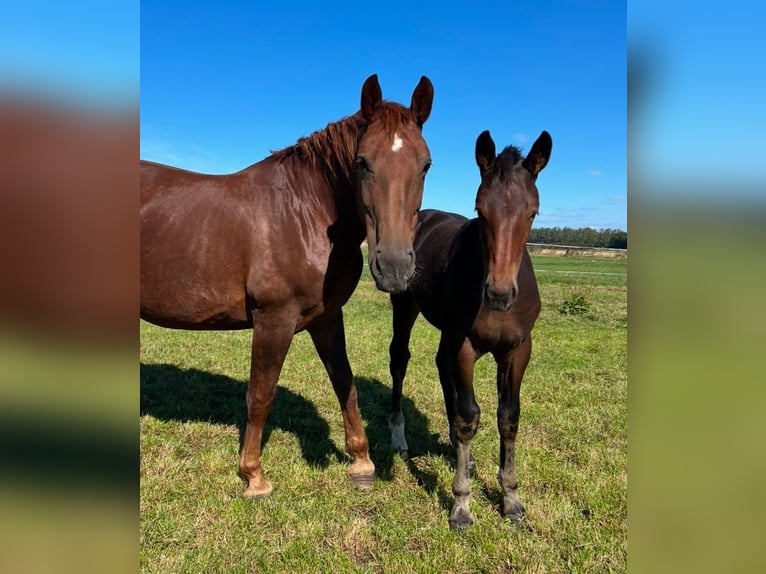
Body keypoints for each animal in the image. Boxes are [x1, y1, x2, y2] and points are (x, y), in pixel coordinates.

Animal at [141, 75, 436, 500]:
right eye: (362, 162)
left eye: (425, 165)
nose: (394, 268)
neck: (303, 213)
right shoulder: (274, 320)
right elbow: (260, 395)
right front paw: (254, 476)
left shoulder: (327, 318)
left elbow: (345, 383)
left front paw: (361, 462)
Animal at [390, 130, 552, 532]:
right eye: (480, 211)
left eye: (533, 212)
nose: (498, 293)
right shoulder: (464, 343)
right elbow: (469, 415)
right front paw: (461, 504)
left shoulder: (517, 349)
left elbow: (508, 416)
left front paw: (511, 498)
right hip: (405, 308)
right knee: (399, 360)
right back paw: (398, 435)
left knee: (440, 364)